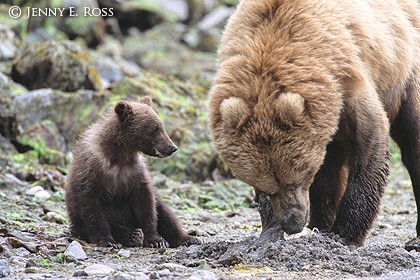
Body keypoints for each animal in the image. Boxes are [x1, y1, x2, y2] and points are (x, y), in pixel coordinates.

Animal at [209, 0, 420, 246]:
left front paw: (345, 233)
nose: (292, 224)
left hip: (407, 75)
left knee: (413, 142)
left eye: (298, 180)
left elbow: (369, 141)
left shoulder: (348, 82)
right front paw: (271, 230)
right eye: (265, 187)